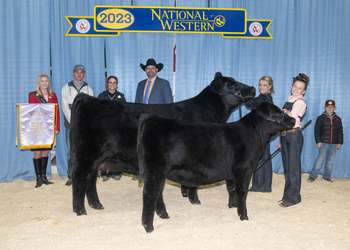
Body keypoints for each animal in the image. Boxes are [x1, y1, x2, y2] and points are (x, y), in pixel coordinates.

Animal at [69, 72, 256, 215]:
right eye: (232, 86)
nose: (253, 88)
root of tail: (85, 98)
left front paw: (185, 193)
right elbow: (194, 182)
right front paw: (194, 199)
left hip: (97, 158)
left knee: (90, 180)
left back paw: (96, 205)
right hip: (87, 154)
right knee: (80, 178)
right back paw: (80, 210)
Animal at [137, 102, 296, 232]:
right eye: (277, 113)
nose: (294, 120)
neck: (255, 134)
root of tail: (151, 118)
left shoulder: (232, 173)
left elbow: (232, 190)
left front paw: (232, 207)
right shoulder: (244, 170)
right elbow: (242, 193)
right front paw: (244, 217)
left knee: (158, 194)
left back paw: (163, 215)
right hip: (155, 171)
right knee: (150, 195)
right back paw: (148, 226)